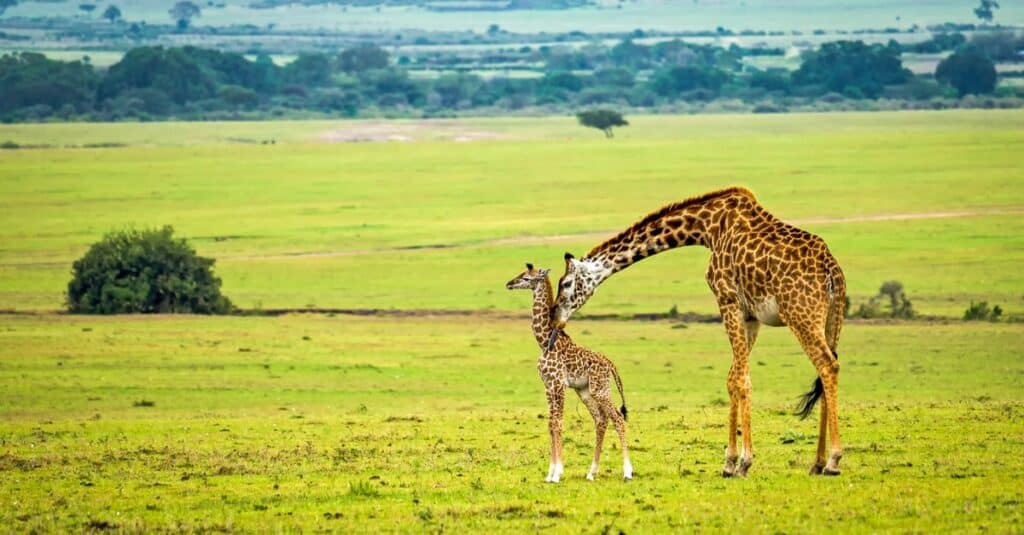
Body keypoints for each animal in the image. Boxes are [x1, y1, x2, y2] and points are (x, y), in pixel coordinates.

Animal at [503, 260, 630, 481]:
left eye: (527, 277)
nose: (509, 283)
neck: (544, 341)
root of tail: (610, 364)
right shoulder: (548, 385)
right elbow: (551, 424)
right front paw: (550, 473)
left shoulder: (559, 384)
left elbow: (559, 423)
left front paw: (557, 474)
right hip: (585, 391)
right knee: (601, 419)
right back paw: (591, 473)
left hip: (600, 389)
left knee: (617, 418)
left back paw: (628, 471)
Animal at [552, 186, 847, 475]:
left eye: (565, 283)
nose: (555, 318)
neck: (707, 227)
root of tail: (831, 270)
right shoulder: (751, 315)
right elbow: (733, 378)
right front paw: (729, 462)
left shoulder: (727, 299)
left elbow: (741, 379)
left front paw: (743, 461)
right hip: (832, 318)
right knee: (827, 368)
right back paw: (817, 463)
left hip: (800, 314)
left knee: (826, 365)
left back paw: (833, 461)